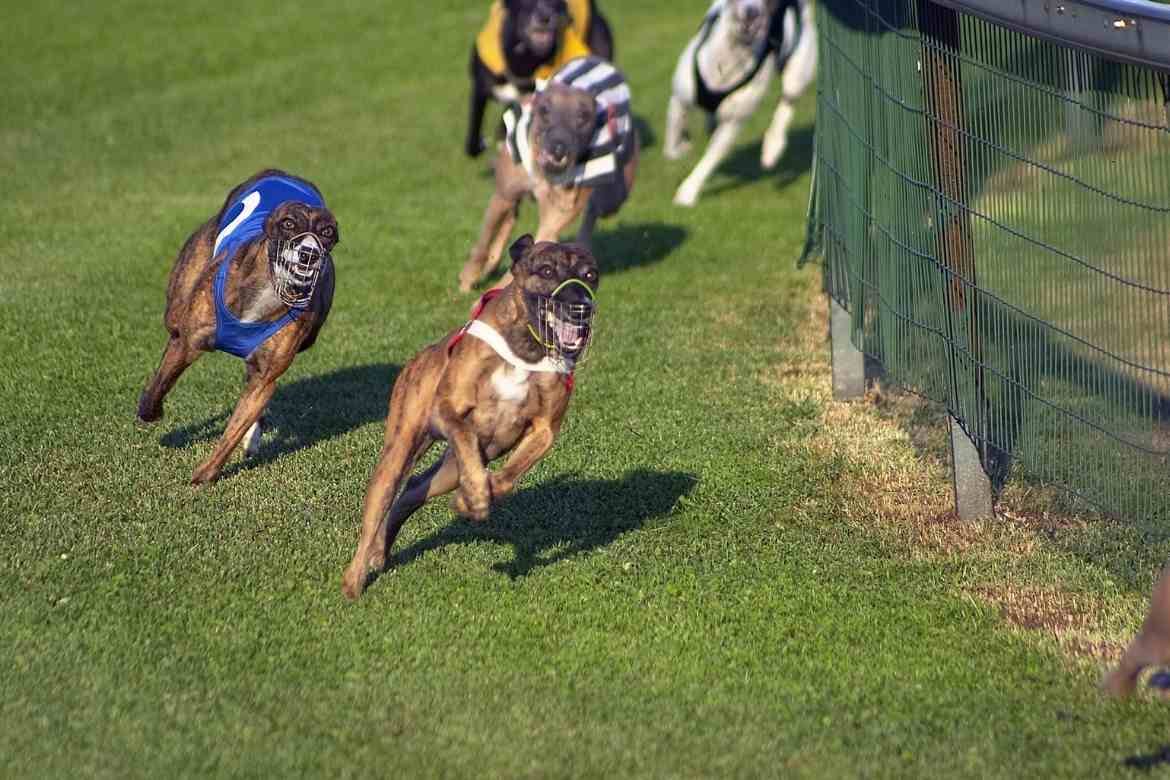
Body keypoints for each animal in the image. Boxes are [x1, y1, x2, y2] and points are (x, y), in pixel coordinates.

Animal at [465, 0, 617, 156]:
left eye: (554, 2)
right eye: (525, 2)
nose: (545, 17)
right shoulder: (480, 89)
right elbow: (473, 132)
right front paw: (479, 145)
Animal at [664, 0, 819, 206]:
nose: (751, 13)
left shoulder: (733, 124)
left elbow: (712, 157)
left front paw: (688, 191)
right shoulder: (679, 99)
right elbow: (672, 135)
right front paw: (678, 149)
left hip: (799, 71)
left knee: (786, 102)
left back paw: (772, 147)